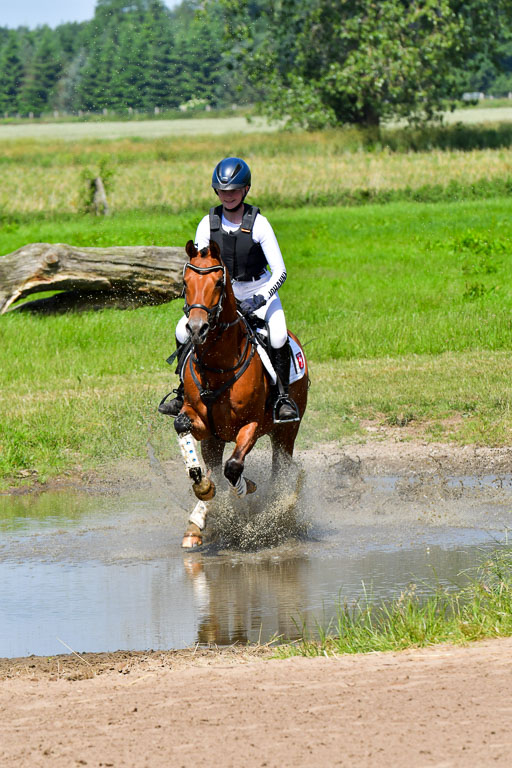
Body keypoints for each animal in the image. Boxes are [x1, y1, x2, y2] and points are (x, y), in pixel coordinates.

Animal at [173, 239, 308, 549]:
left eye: (218, 283)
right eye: (185, 282)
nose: (196, 329)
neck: (218, 366)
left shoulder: (252, 425)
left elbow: (233, 467)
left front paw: (247, 488)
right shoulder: (203, 425)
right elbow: (184, 430)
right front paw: (203, 491)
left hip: (286, 432)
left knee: (279, 468)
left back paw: (279, 512)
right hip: (215, 439)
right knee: (213, 464)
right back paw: (196, 523)